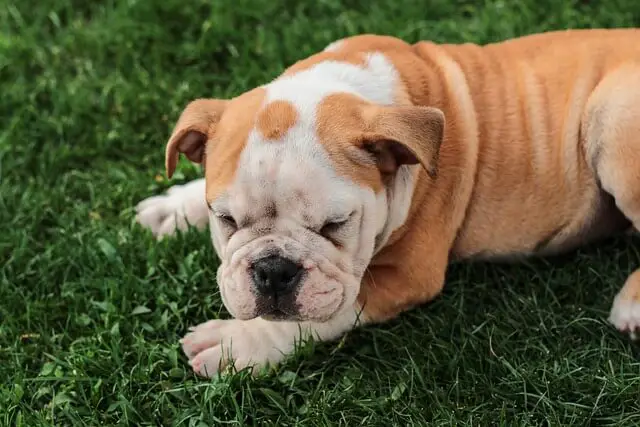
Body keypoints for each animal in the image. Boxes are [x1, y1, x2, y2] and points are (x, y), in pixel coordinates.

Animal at [138, 28, 640, 378]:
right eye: (225, 219)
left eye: (335, 224)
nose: (273, 270)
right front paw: (175, 207)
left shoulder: (404, 276)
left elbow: (320, 316)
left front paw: (234, 342)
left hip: (614, 114)